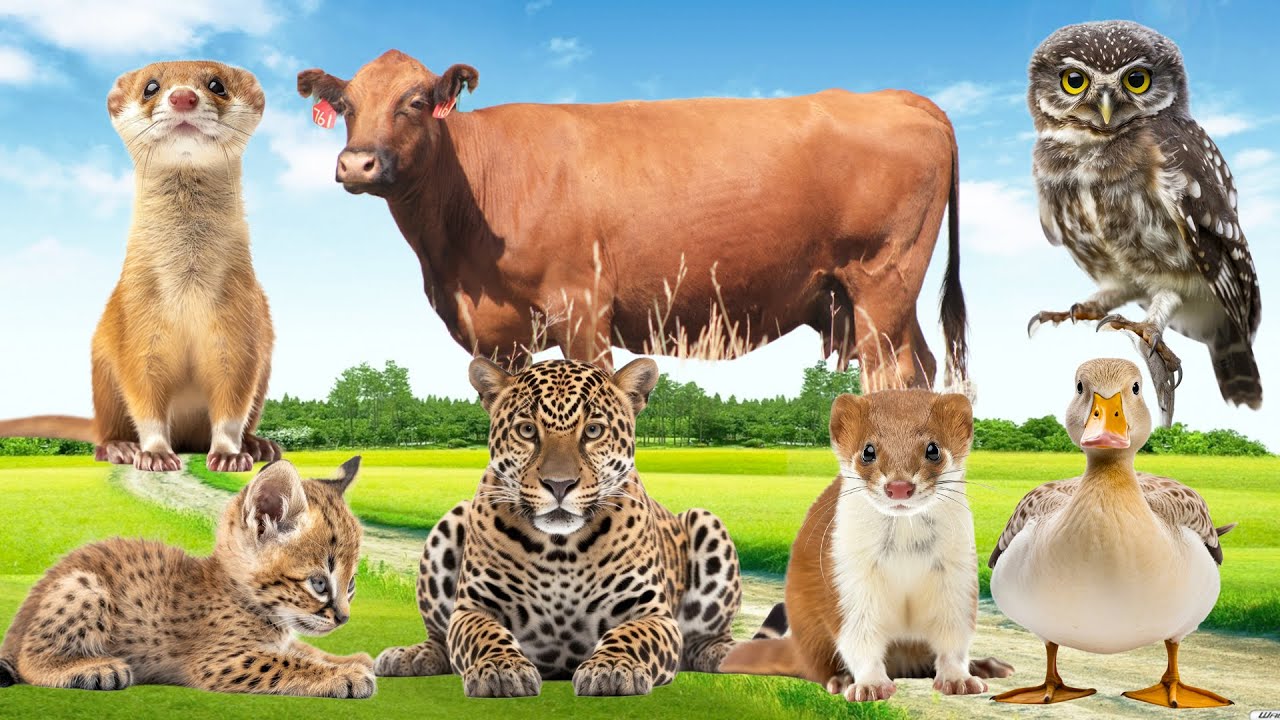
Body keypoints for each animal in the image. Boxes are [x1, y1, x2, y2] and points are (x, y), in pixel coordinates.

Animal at [298, 50, 968, 392]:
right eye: (347, 105)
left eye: (415, 102)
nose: (356, 162)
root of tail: (902, 97)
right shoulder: (504, 335)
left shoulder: (581, 307)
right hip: (879, 299)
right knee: (924, 372)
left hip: (881, 282)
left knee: (891, 382)